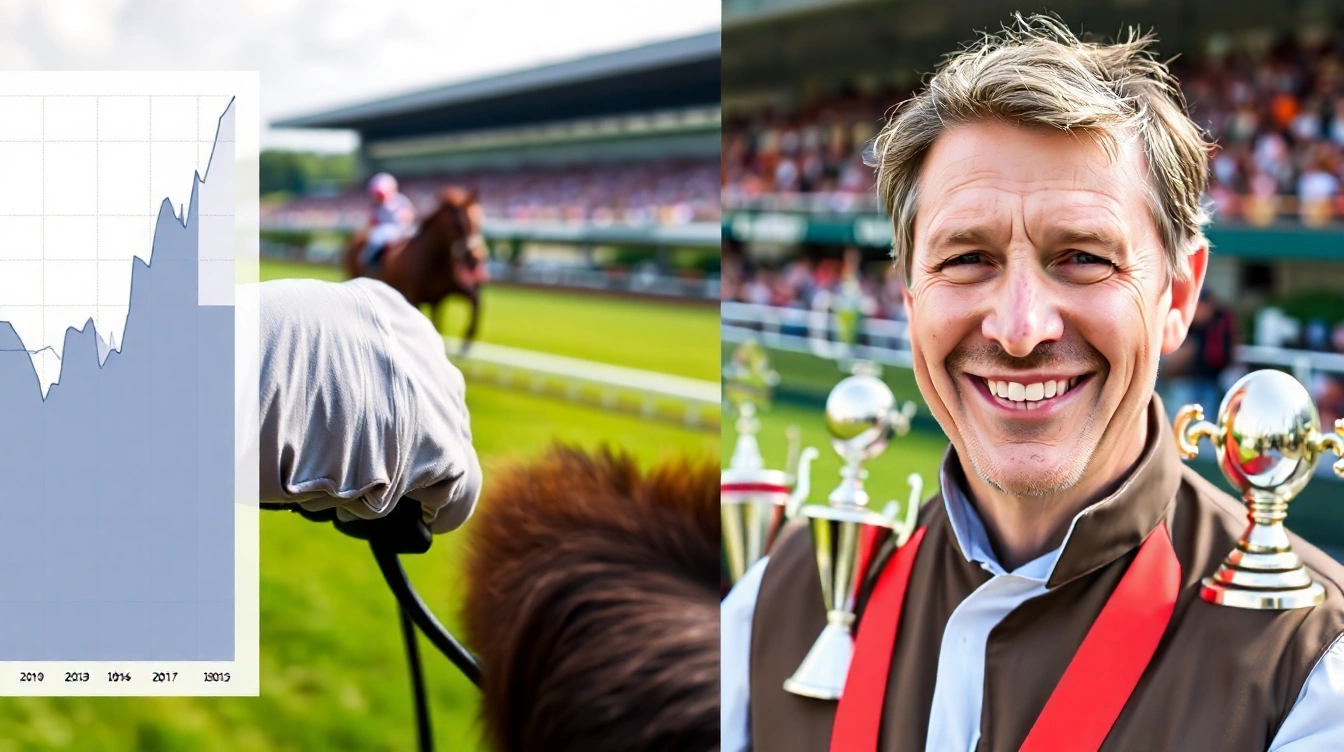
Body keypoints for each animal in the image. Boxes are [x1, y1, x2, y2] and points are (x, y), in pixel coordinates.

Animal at [344, 187, 488, 350]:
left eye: (478, 219)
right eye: (457, 223)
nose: (475, 257)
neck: (436, 260)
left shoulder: (445, 294)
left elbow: (476, 301)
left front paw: (468, 337)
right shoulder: (414, 297)